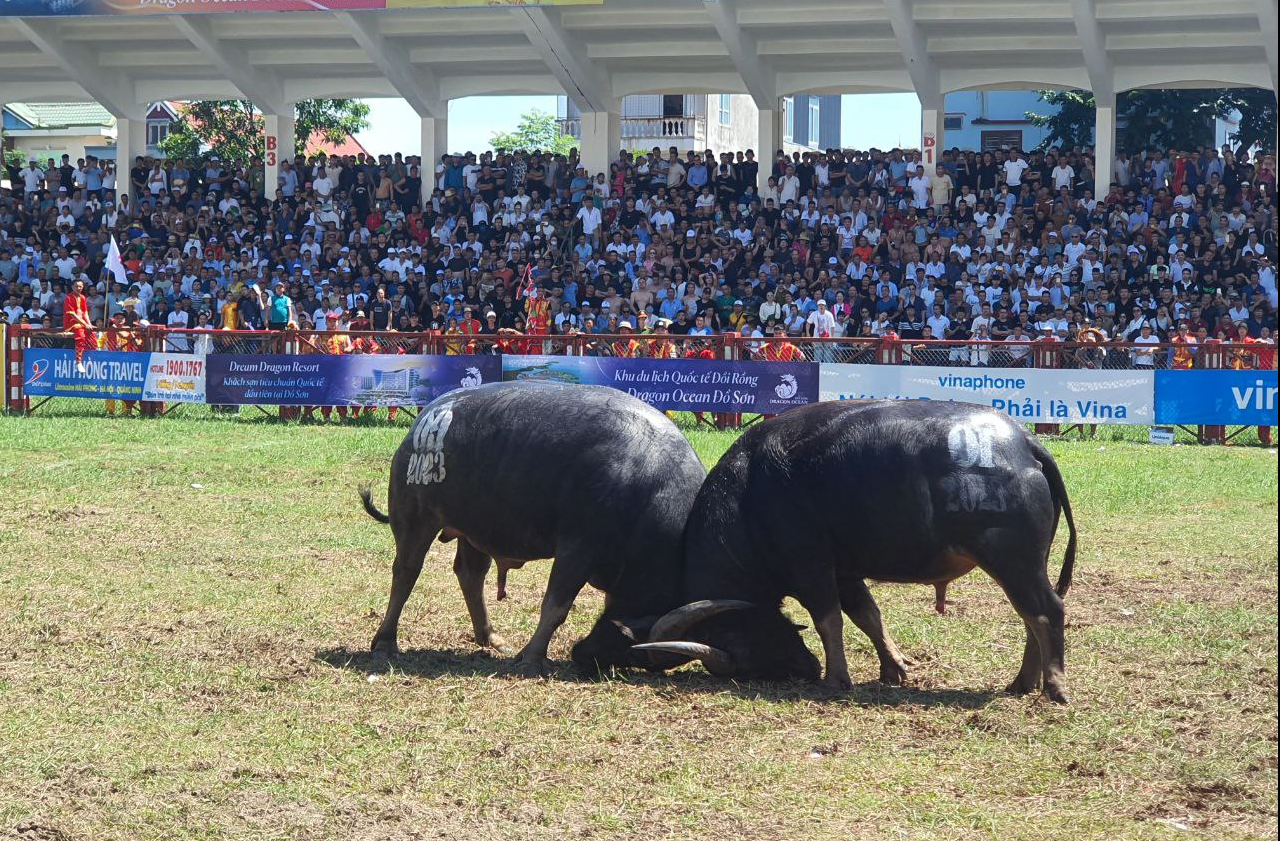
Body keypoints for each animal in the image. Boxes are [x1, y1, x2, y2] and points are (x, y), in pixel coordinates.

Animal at [358, 381, 711, 675]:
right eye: (637, 651)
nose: (585, 658)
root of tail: (426, 418)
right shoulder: (578, 547)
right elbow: (556, 606)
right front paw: (531, 658)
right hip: (416, 518)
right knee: (406, 572)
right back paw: (386, 642)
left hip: (474, 529)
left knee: (470, 574)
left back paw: (490, 637)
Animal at [634, 399, 1075, 701]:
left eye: (748, 648)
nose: (806, 670)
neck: (748, 499)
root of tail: (1025, 443)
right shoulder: (844, 572)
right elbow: (868, 616)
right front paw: (894, 668)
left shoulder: (811, 566)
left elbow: (828, 620)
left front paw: (836, 678)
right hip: (1027, 564)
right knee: (1029, 616)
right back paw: (1021, 683)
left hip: (1012, 560)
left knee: (1046, 611)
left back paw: (1053, 687)